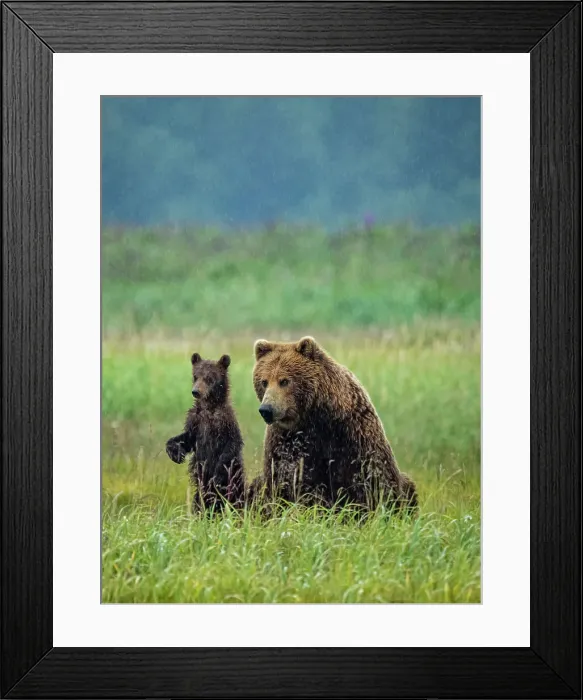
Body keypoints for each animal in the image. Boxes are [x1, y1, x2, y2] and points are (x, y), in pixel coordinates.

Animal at [165, 353, 245, 513]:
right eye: (196, 376)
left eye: (209, 378)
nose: (195, 391)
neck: (209, 408)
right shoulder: (196, 422)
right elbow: (187, 438)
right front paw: (175, 452)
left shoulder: (226, 422)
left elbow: (231, 445)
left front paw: (217, 474)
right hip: (200, 491)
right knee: (200, 502)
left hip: (235, 485)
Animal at [250, 336, 417, 514]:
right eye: (264, 382)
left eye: (284, 381)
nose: (266, 410)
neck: (312, 416)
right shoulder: (285, 441)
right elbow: (282, 481)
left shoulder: (350, 434)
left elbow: (369, 480)